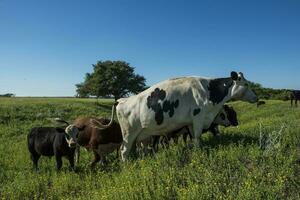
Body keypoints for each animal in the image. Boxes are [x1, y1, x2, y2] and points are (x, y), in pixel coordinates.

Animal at [93, 71, 258, 160]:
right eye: (246, 84)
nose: (256, 97)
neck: (209, 91)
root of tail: (122, 100)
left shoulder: (191, 123)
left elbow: (193, 139)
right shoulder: (198, 118)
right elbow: (198, 138)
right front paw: (199, 154)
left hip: (142, 134)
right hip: (129, 133)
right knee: (123, 151)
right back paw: (127, 168)